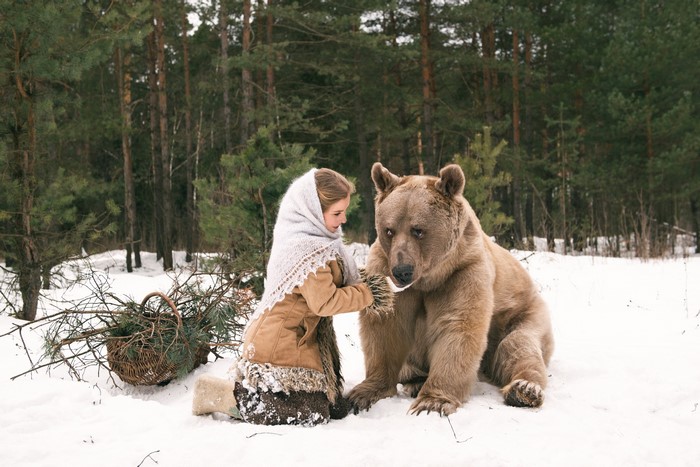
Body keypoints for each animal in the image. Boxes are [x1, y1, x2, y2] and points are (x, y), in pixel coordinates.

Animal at [348, 162, 554, 416]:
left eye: (418, 230)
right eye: (389, 230)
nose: (402, 271)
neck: (429, 278)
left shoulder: (462, 272)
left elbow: (458, 325)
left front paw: (432, 402)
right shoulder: (385, 269)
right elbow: (385, 326)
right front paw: (362, 393)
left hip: (524, 313)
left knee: (518, 345)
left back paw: (524, 389)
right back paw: (415, 380)